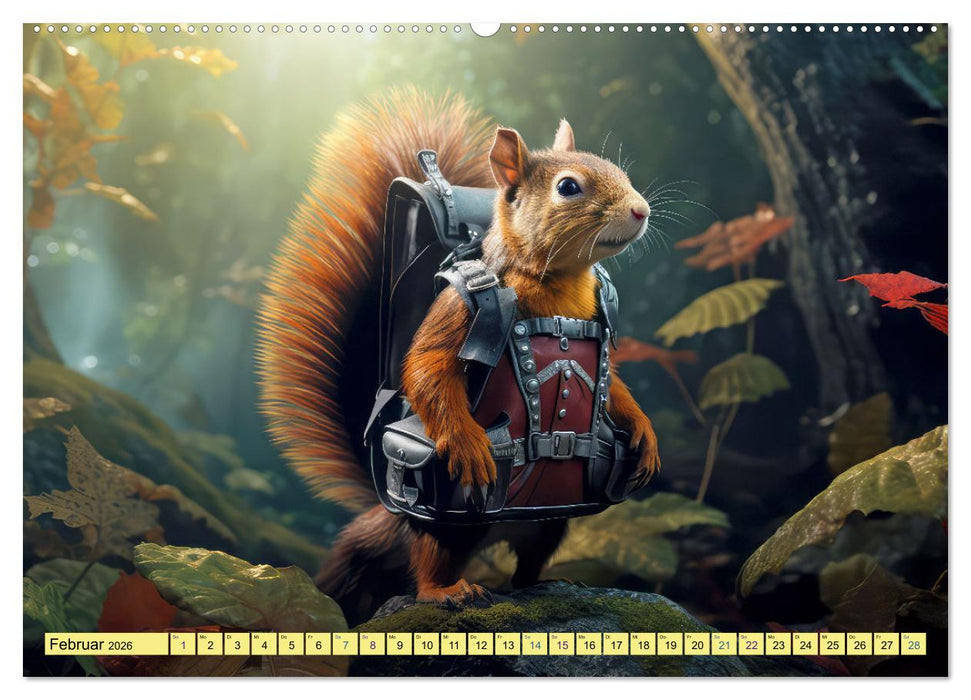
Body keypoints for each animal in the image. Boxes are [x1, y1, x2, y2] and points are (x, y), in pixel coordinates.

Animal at [257, 87, 660, 624]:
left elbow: (614, 387)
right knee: (432, 557)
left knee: (530, 560)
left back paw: (547, 581)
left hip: (554, 520)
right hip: (445, 518)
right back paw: (447, 591)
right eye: (568, 187)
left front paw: (645, 434)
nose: (641, 211)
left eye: (619, 171)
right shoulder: (459, 306)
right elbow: (426, 365)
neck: (560, 283)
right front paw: (469, 442)